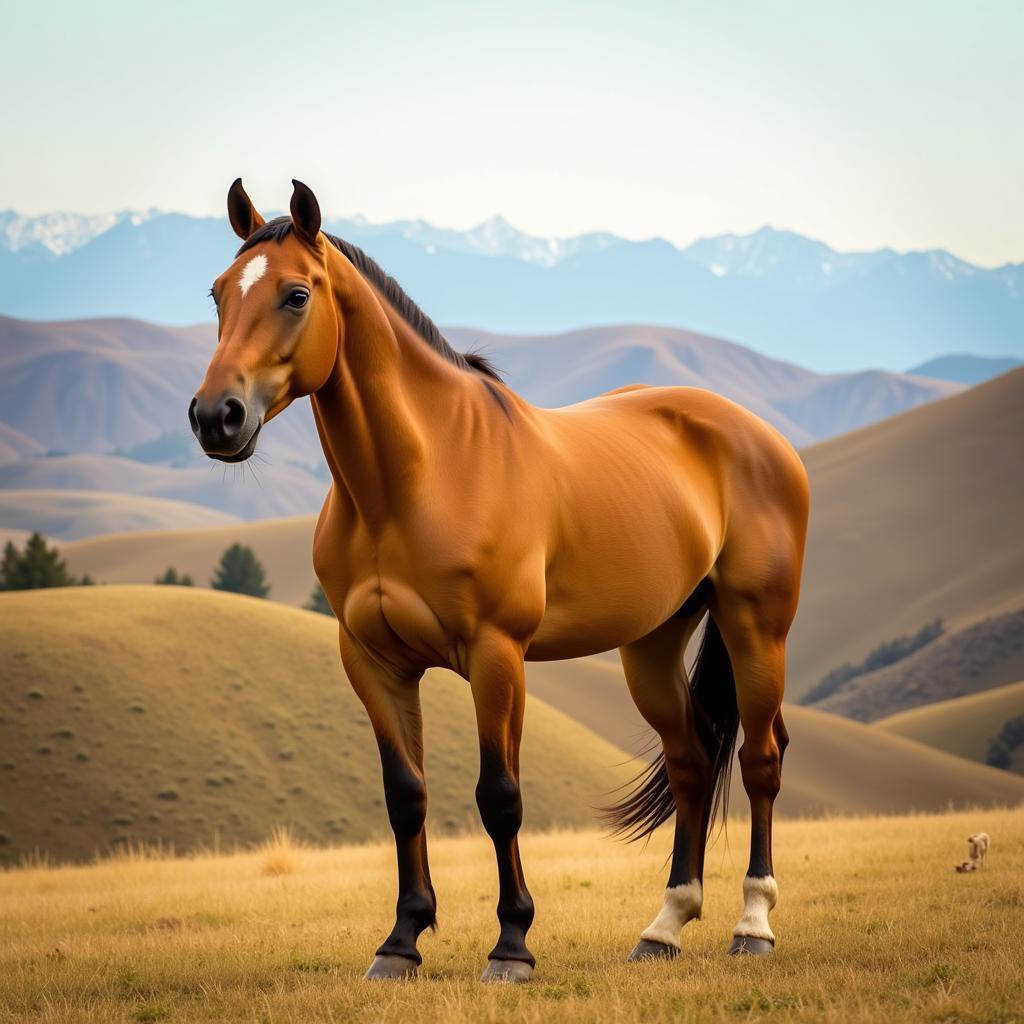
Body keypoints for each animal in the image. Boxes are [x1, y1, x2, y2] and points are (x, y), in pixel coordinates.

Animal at [190, 178, 806, 983]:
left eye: (295, 294)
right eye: (218, 293)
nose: (216, 417)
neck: (422, 477)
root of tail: (758, 433)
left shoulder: (496, 656)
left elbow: (500, 796)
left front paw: (512, 946)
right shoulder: (373, 661)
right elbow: (405, 796)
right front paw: (401, 942)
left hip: (755, 626)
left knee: (760, 759)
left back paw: (754, 924)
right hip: (651, 644)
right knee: (693, 763)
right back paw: (664, 928)